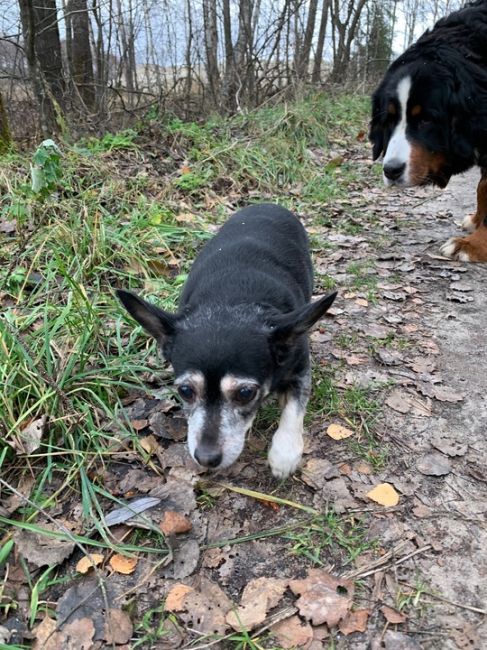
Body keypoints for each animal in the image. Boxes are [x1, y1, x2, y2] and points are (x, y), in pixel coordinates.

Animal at [118, 204, 338, 476]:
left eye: (245, 393)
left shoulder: (299, 367)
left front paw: (284, 453)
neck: (231, 303)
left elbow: (294, 409)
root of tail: (268, 204)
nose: (206, 458)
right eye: (185, 391)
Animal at [372, 2, 486, 262]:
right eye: (389, 119)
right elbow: (482, 188)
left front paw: (474, 245)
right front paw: (476, 221)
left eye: (425, 119)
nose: (391, 170)